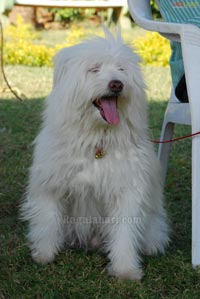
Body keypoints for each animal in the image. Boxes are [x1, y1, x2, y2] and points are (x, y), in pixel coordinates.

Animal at [21, 30, 169, 282]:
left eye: (121, 69)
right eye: (95, 69)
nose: (117, 84)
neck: (97, 140)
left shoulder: (125, 192)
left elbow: (124, 233)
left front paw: (125, 270)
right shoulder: (50, 186)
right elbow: (48, 221)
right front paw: (44, 254)